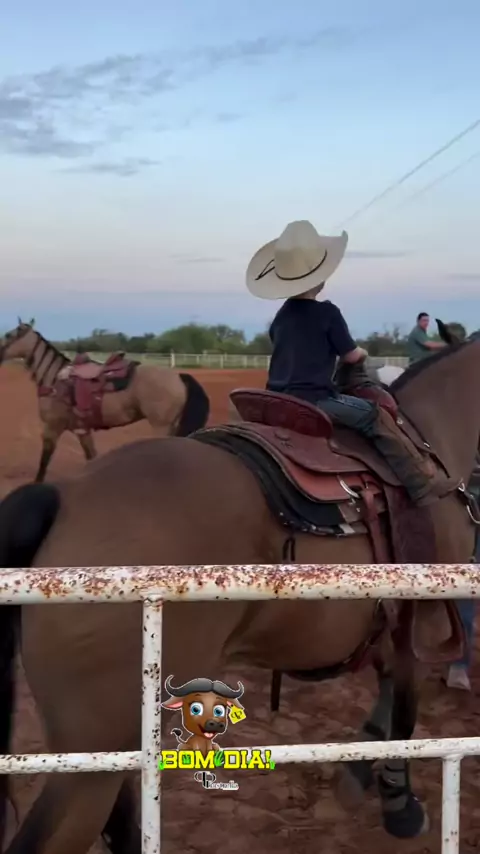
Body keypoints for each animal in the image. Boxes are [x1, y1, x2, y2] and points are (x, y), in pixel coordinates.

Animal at [0, 318, 210, 482]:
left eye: (9, 335)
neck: (55, 379)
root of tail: (178, 376)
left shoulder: (52, 428)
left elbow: (44, 460)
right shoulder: (82, 430)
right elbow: (91, 457)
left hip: (161, 426)